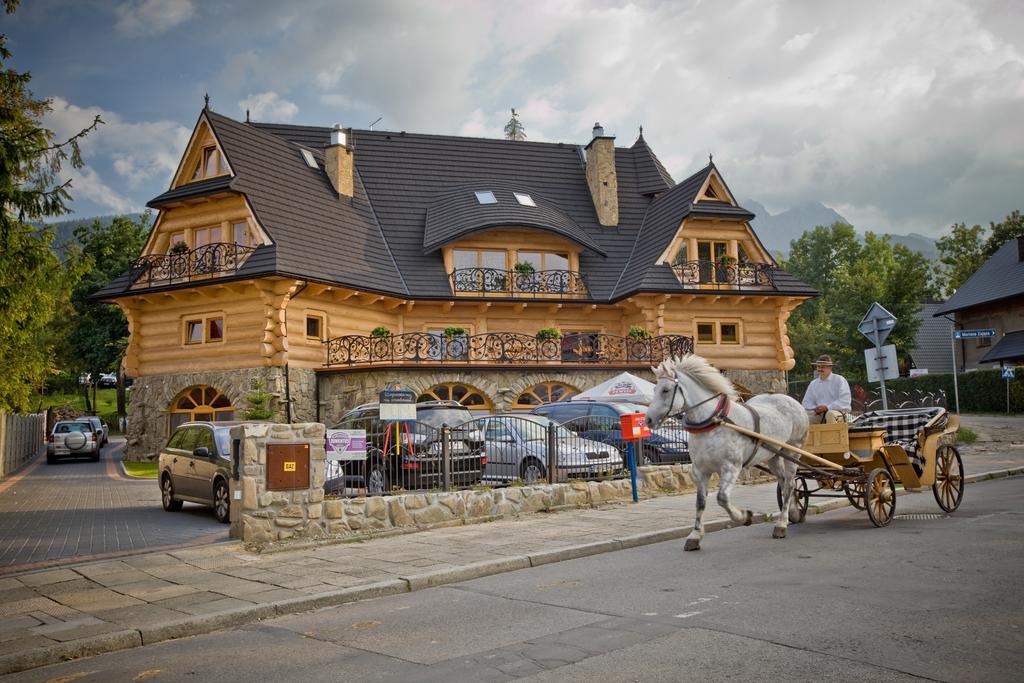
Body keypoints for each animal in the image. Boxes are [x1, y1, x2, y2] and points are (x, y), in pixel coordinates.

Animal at [647, 356, 806, 552]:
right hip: (773, 455)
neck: (713, 423)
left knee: (790, 484)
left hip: (792, 450)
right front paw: (695, 536)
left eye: (666, 390)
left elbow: (722, 498)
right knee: (784, 483)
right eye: (654, 389)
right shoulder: (700, 470)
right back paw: (793, 512)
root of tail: (792, 400)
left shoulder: (731, 467)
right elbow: (700, 502)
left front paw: (745, 516)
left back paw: (781, 524)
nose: (648, 420)